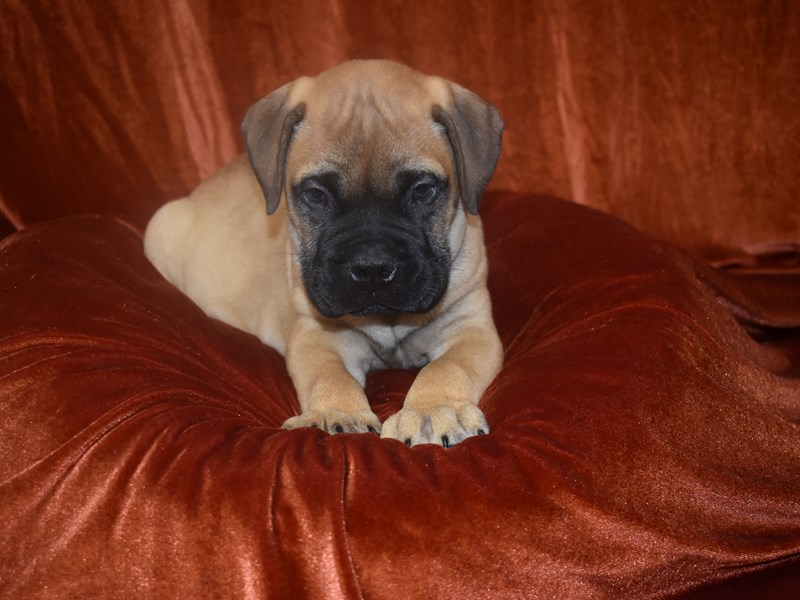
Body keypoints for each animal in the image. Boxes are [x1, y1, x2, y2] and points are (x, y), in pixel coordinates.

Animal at [145, 59, 500, 446]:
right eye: (316, 195)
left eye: (423, 190)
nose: (372, 268)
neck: (386, 321)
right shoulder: (318, 337)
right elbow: (329, 376)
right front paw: (337, 412)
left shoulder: (470, 328)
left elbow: (447, 367)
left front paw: (432, 410)